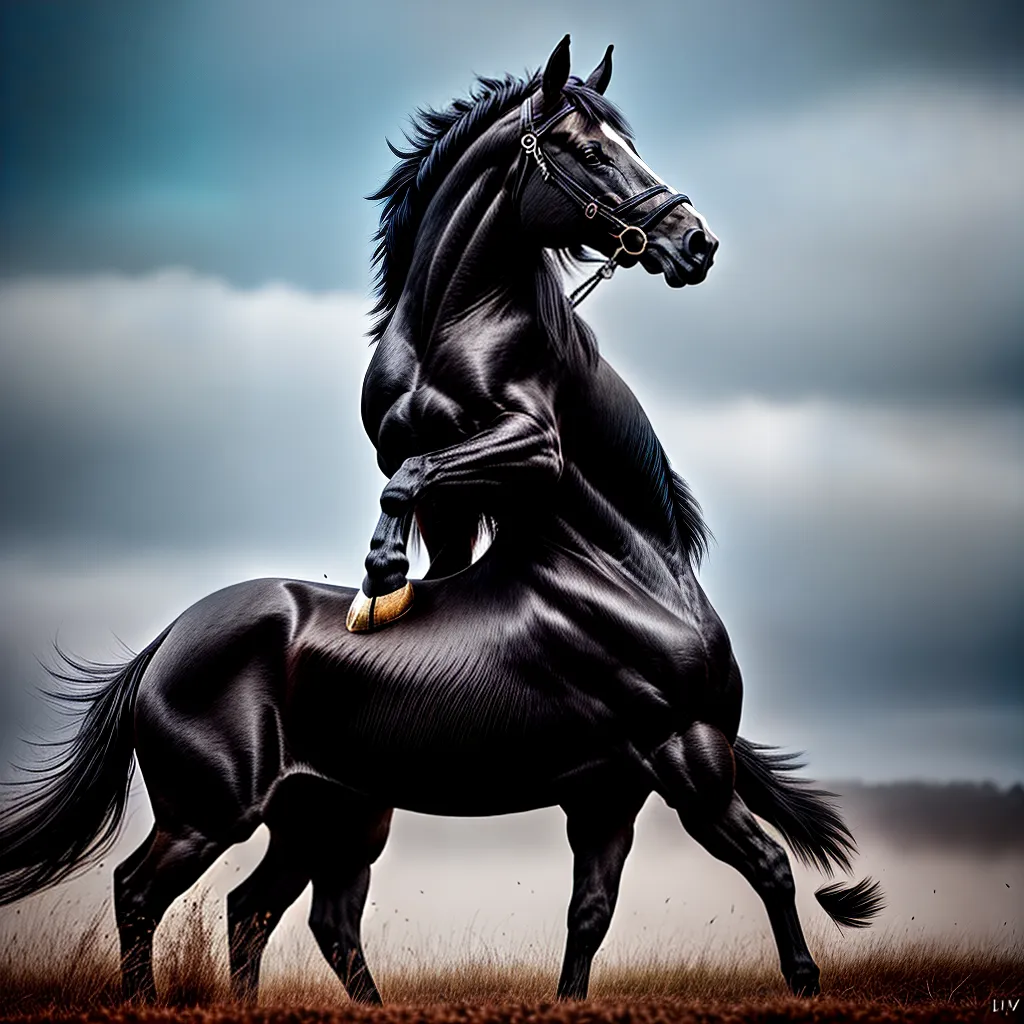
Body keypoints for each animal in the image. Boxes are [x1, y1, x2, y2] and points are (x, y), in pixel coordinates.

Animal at [0, 36, 882, 1006]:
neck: (627, 577)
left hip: (324, 814)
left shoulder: (608, 794)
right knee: (144, 890)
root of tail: (162, 646)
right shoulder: (686, 757)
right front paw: (805, 982)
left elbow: (590, 916)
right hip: (212, 810)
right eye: (584, 149)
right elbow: (770, 865)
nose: (697, 241)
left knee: (269, 910)